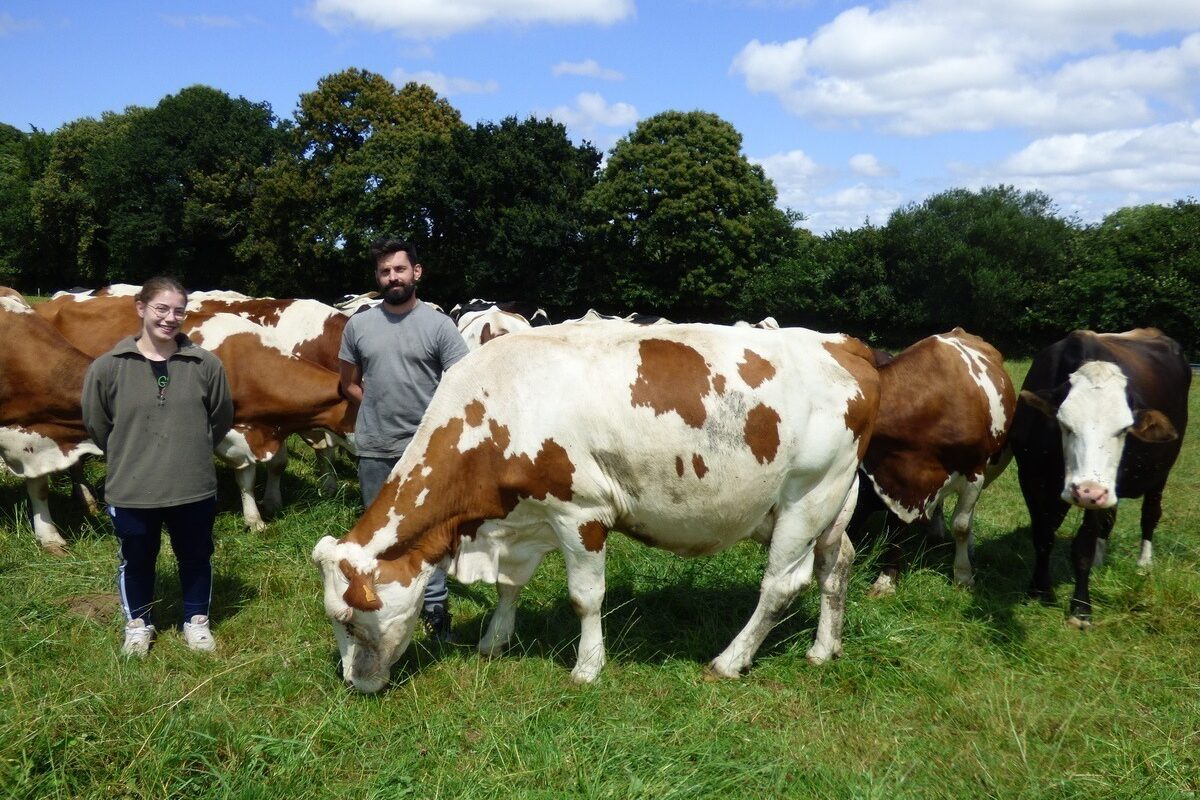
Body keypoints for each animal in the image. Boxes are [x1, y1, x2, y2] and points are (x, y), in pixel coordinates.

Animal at [304, 321, 878, 690]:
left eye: (348, 621)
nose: (354, 684)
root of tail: (839, 342)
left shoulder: (580, 512)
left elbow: (586, 597)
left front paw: (587, 667)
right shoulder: (523, 518)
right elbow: (510, 585)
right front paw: (495, 640)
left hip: (808, 495)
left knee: (781, 585)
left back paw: (730, 660)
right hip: (834, 503)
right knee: (836, 566)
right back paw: (824, 648)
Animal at [849, 328, 1017, 597]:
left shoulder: (974, 473)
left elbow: (961, 525)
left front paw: (963, 575)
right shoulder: (898, 477)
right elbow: (896, 527)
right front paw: (887, 580)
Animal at [1008, 328, 1185, 628]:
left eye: (1124, 429)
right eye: (1065, 425)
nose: (1087, 491)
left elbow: (1083, 546)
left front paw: (1081, 607)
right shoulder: (1030, 478)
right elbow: (1043, 535)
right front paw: (1038, 590)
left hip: (1159, 473)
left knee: (1150, 514)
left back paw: (1144, 563)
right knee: (1109, 519)